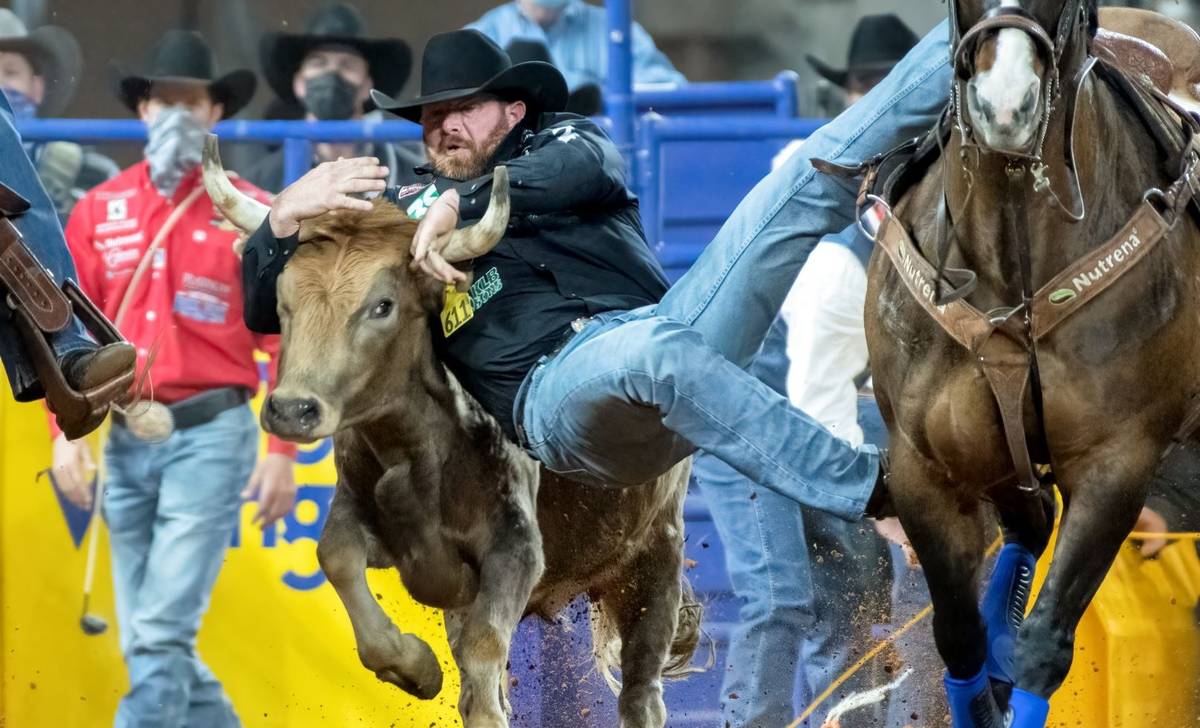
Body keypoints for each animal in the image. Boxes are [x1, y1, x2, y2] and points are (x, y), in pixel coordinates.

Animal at [868, 2, 1200, 724]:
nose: (1005, 104)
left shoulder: (1116, 463)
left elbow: (1044, 644)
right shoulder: (922, 466)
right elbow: (958, 638)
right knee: (1028, 525)